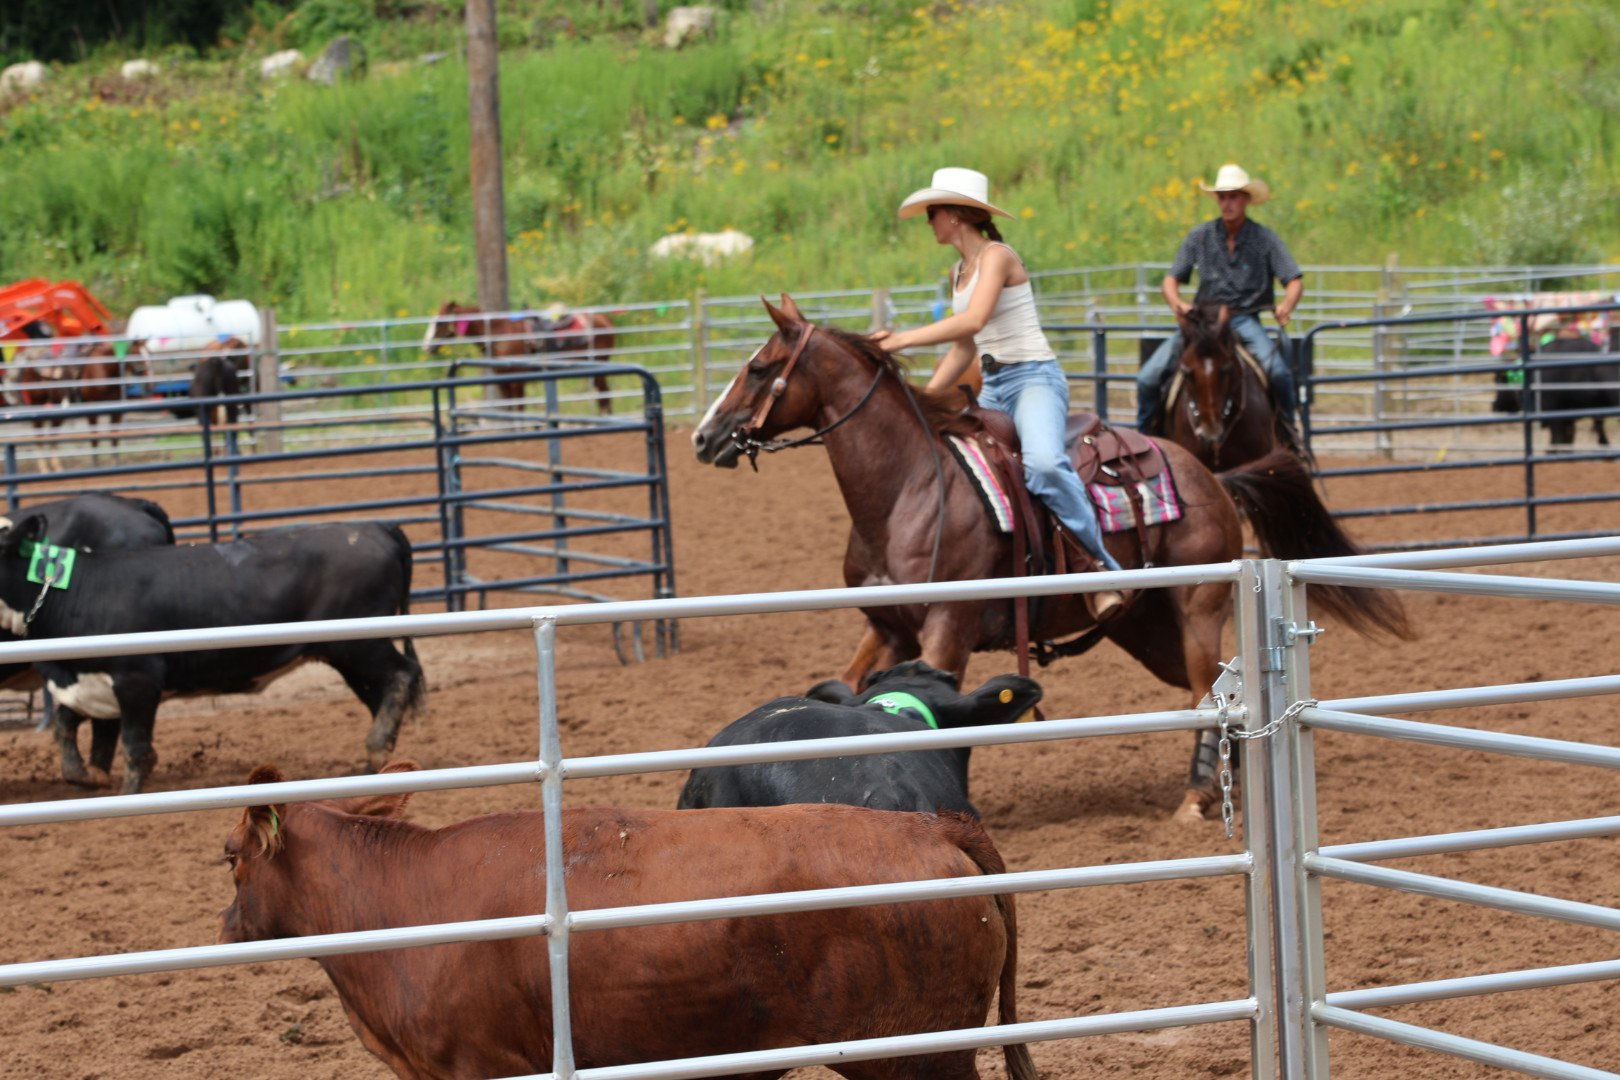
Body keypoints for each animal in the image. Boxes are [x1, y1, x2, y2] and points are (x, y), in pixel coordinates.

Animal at [0, 518, 426, 793]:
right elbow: (66, 726)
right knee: (382, 693)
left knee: (402, 675)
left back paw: (376, 749)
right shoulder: (89, 682)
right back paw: (378, 759)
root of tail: (376, 528)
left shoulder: (137, 679)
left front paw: (127, 792)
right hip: (349, 656)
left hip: (359, 645)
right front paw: (88, 776)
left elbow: (136, 747)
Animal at [423, 301, 614, 414]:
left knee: (605, 395)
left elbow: (519, 407)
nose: (426, 347)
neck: (499, 334)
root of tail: (605, 320)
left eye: (439, 322)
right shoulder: (503, 381)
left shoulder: (517, 381)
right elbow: (509, 408)